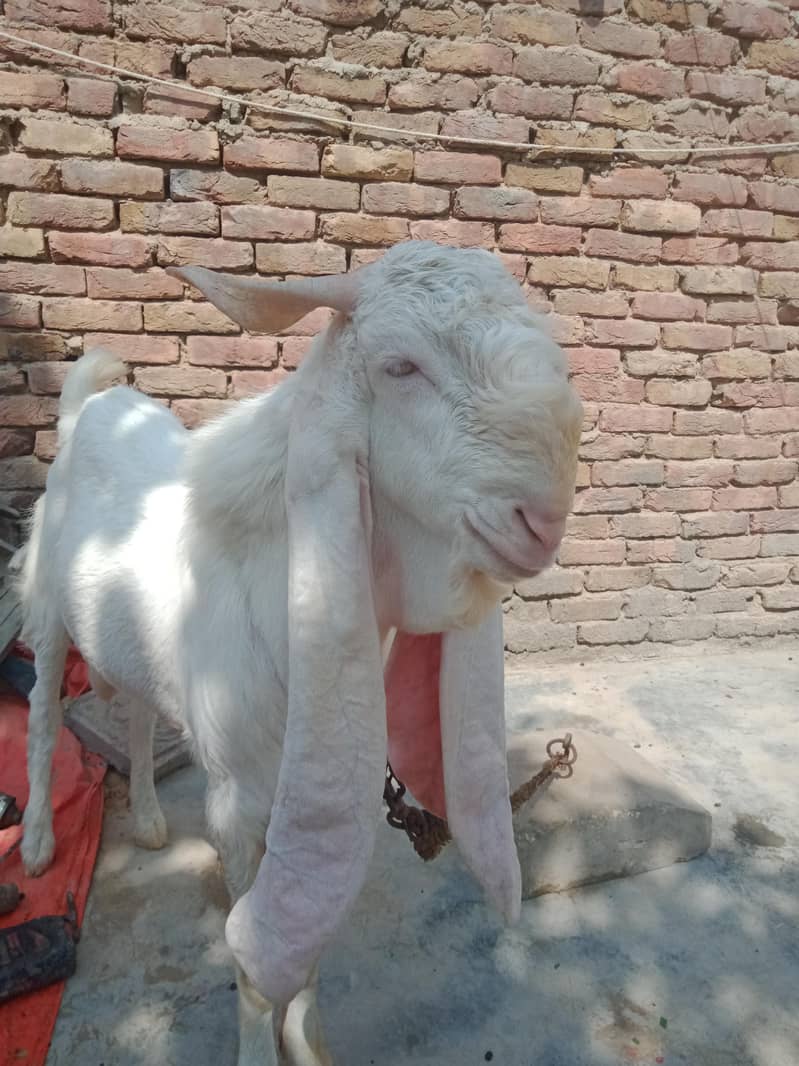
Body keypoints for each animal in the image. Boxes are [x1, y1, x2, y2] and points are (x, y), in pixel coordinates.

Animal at [16, 241, 583, 1066]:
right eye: (400, 366)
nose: (540, 523)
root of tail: (88, 406)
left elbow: (310, 943)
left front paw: (307, 1040)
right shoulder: (238, 798)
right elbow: (257, 965)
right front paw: (262, 1045)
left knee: (141, 717)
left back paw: (149, 820)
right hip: (47, 609)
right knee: (41, 719)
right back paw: (34, 842)